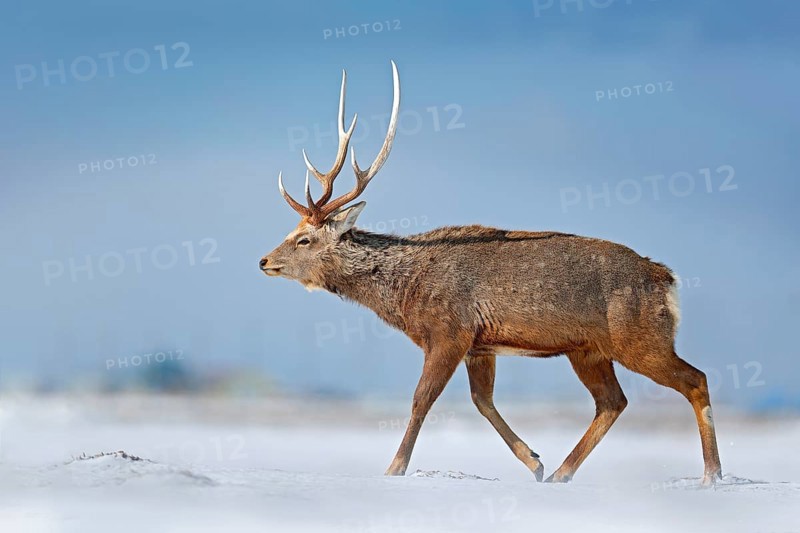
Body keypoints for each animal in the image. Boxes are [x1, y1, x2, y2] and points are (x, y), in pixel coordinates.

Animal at [260, 61, 723, 485]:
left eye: (304, 239)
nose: (263, 260)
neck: (405, 294)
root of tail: (665, 278)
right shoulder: (480, 345)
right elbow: (481, 401)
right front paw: (534, 461)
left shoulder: (450, 330)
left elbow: (421, 400)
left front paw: (394, 469)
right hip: (588, 348)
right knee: (613, 401)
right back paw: (561, 473)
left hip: (638, 337)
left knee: (694, 379)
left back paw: (712, 474)